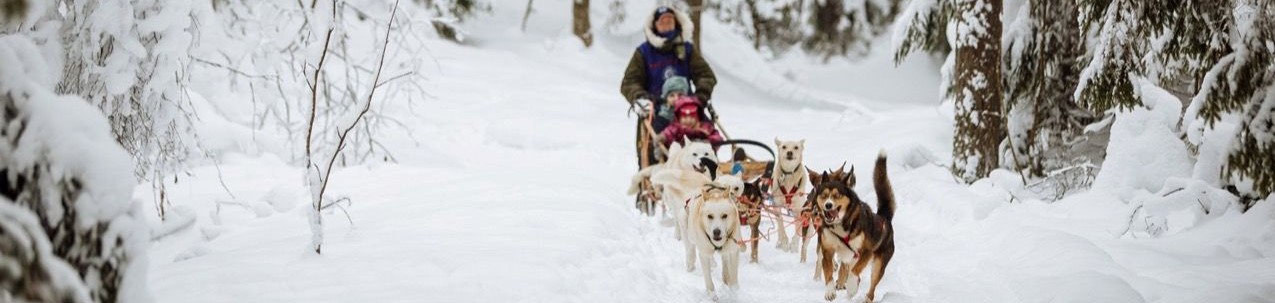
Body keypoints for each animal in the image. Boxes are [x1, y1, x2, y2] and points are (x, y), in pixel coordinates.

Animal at [816, 152, 897, 301]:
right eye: (823, 195)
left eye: (837, 195)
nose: (828, 205)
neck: (841, 224)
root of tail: (884, 218)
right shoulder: (828, 251)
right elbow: (828, 272)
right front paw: (830, 291)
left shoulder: (866, 251)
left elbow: (855, 273)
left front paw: (852, 286)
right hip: (849, 257)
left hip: (878, 265)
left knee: (871, 289)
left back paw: (864, 297)